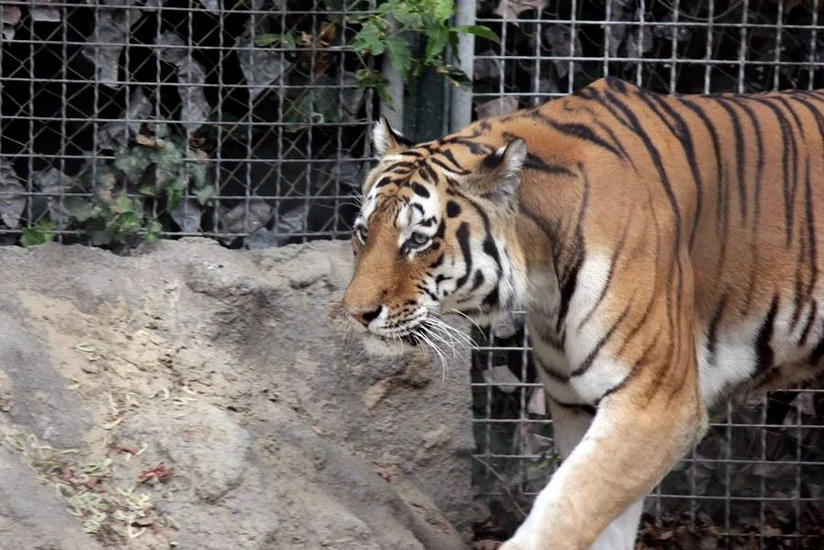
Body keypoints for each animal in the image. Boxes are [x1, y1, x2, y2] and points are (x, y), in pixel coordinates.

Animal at [340, 76, 824, 550]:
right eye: (363, 232)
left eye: (418, 241)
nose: (357, 313)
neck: (543, 282)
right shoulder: (580, 404)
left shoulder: (654, 402)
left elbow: (563, 510)